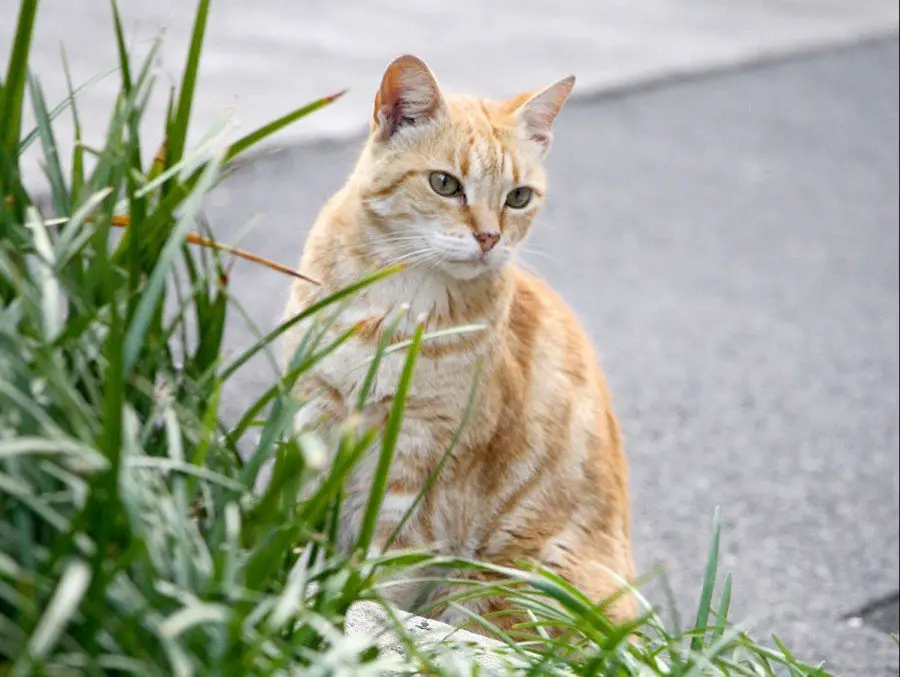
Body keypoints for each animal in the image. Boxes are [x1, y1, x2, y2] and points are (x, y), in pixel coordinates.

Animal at [284, 55, 636, 632]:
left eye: (518, 197)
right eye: (445, 184)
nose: (490, 238)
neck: (395, 305)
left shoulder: (420, 468)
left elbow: (385, 577)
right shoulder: (314, 416)